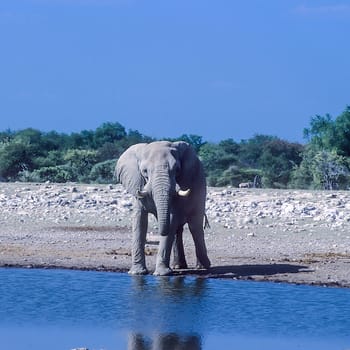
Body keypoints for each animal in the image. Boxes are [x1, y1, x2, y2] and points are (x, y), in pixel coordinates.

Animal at [116, 140, 212, 276]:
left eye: (177, 170)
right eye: (144, 171)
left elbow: (171, 219)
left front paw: (161, 274)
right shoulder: (138, 185)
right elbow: (140, 221)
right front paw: (137, 273)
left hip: (201, 187)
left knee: (195, 227)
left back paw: (202, 267)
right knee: (178, 230)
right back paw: (178, 266)